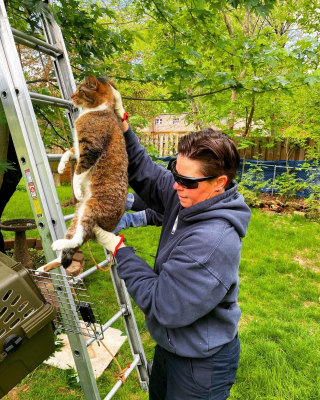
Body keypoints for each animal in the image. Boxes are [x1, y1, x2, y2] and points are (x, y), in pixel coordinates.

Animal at [39, 75, 129, 272]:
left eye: (80, 90)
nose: (71, 96)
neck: (97, 110)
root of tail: (110, 227)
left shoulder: (90, 149)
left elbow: (79, 173)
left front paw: (77, 188)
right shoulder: (79, 148)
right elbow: (68, 152)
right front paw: (61, 167)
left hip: (90, 210)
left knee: (78, 239)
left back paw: (58, 244)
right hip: (77, 216)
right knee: (68, 249)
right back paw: (46, 266)